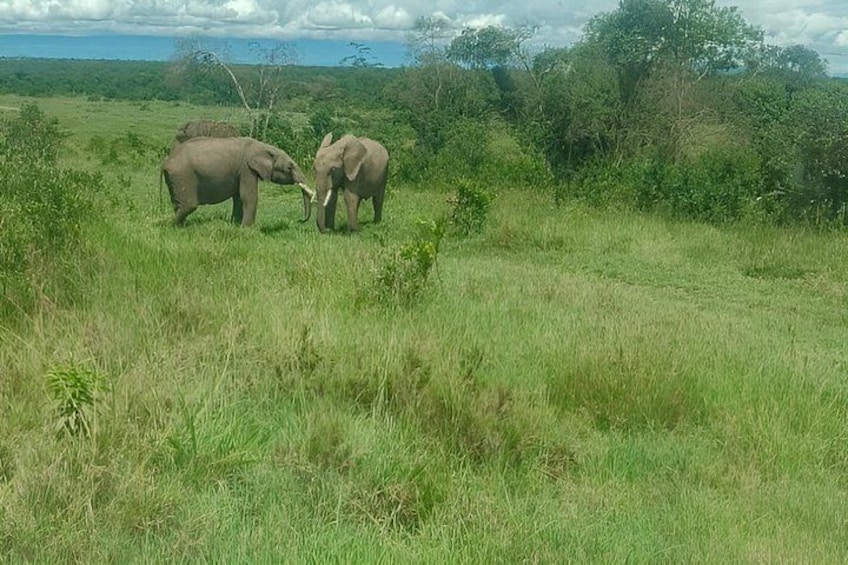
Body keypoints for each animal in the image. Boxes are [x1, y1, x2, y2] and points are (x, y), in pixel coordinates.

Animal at [160, 136, 315, 227]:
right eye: (289, 167)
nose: (299, 220)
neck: (264, 147)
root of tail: (166, 161)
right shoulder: (246, 169)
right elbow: (248, 197)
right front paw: (247, 230)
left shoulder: (240, 172)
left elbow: (239, 198)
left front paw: (235, 226)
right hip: (183, 175)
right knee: (189, 205)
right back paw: (171, 226)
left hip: (175, 178)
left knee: (179, 203)